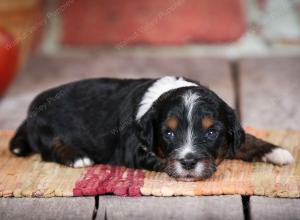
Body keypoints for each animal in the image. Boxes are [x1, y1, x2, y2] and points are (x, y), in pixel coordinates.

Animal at [9, 76, 292, 181]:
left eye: (211, 132)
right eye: (168, 133)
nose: (189, 162)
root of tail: (29, 113)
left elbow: (246, 140)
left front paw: (277, 152)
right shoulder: (133, 149)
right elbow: (161, 158)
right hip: (45, 131)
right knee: (50, 149)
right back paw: (76, 157)